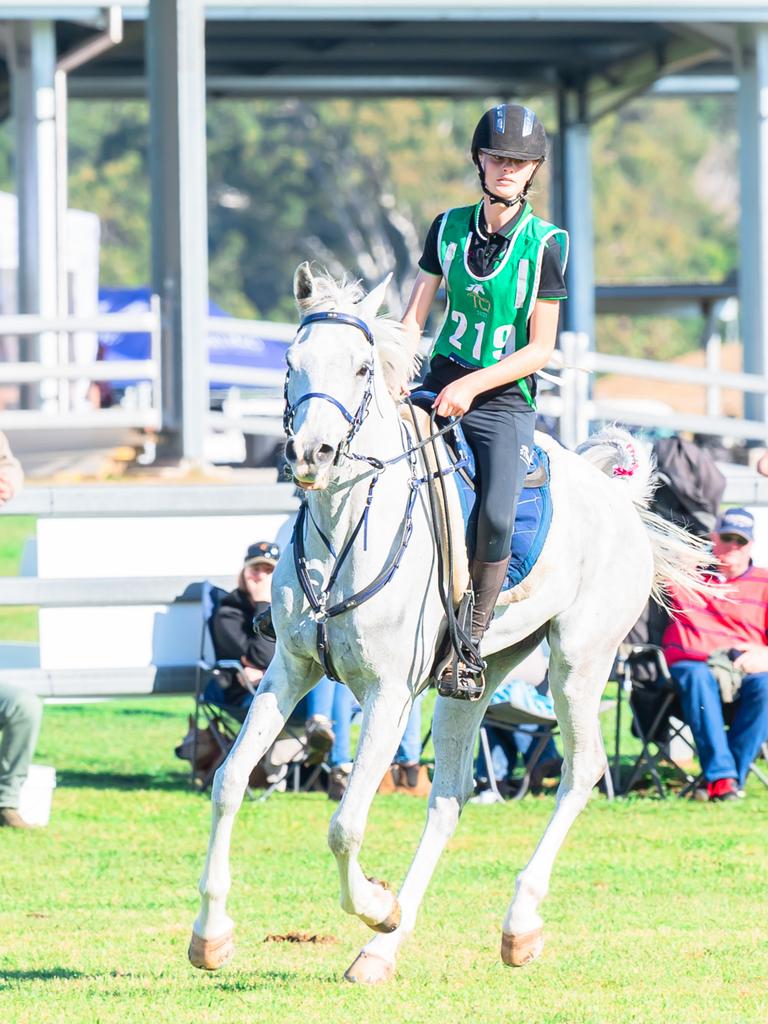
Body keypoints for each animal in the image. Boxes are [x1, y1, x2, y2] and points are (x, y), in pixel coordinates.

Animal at [189, 264, 712, 983]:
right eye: (292, 363)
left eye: (360, 368)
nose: (311, 454)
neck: (347, 526)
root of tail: (618, 497)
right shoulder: (289, 670)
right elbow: (229, 781)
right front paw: (211, 936)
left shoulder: (388, 695)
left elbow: (345, 825)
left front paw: (375, 905)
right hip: (478, 675)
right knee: (451, 795)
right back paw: (381, 952)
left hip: (578, 662)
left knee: (579, 773)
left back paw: (515, 925)